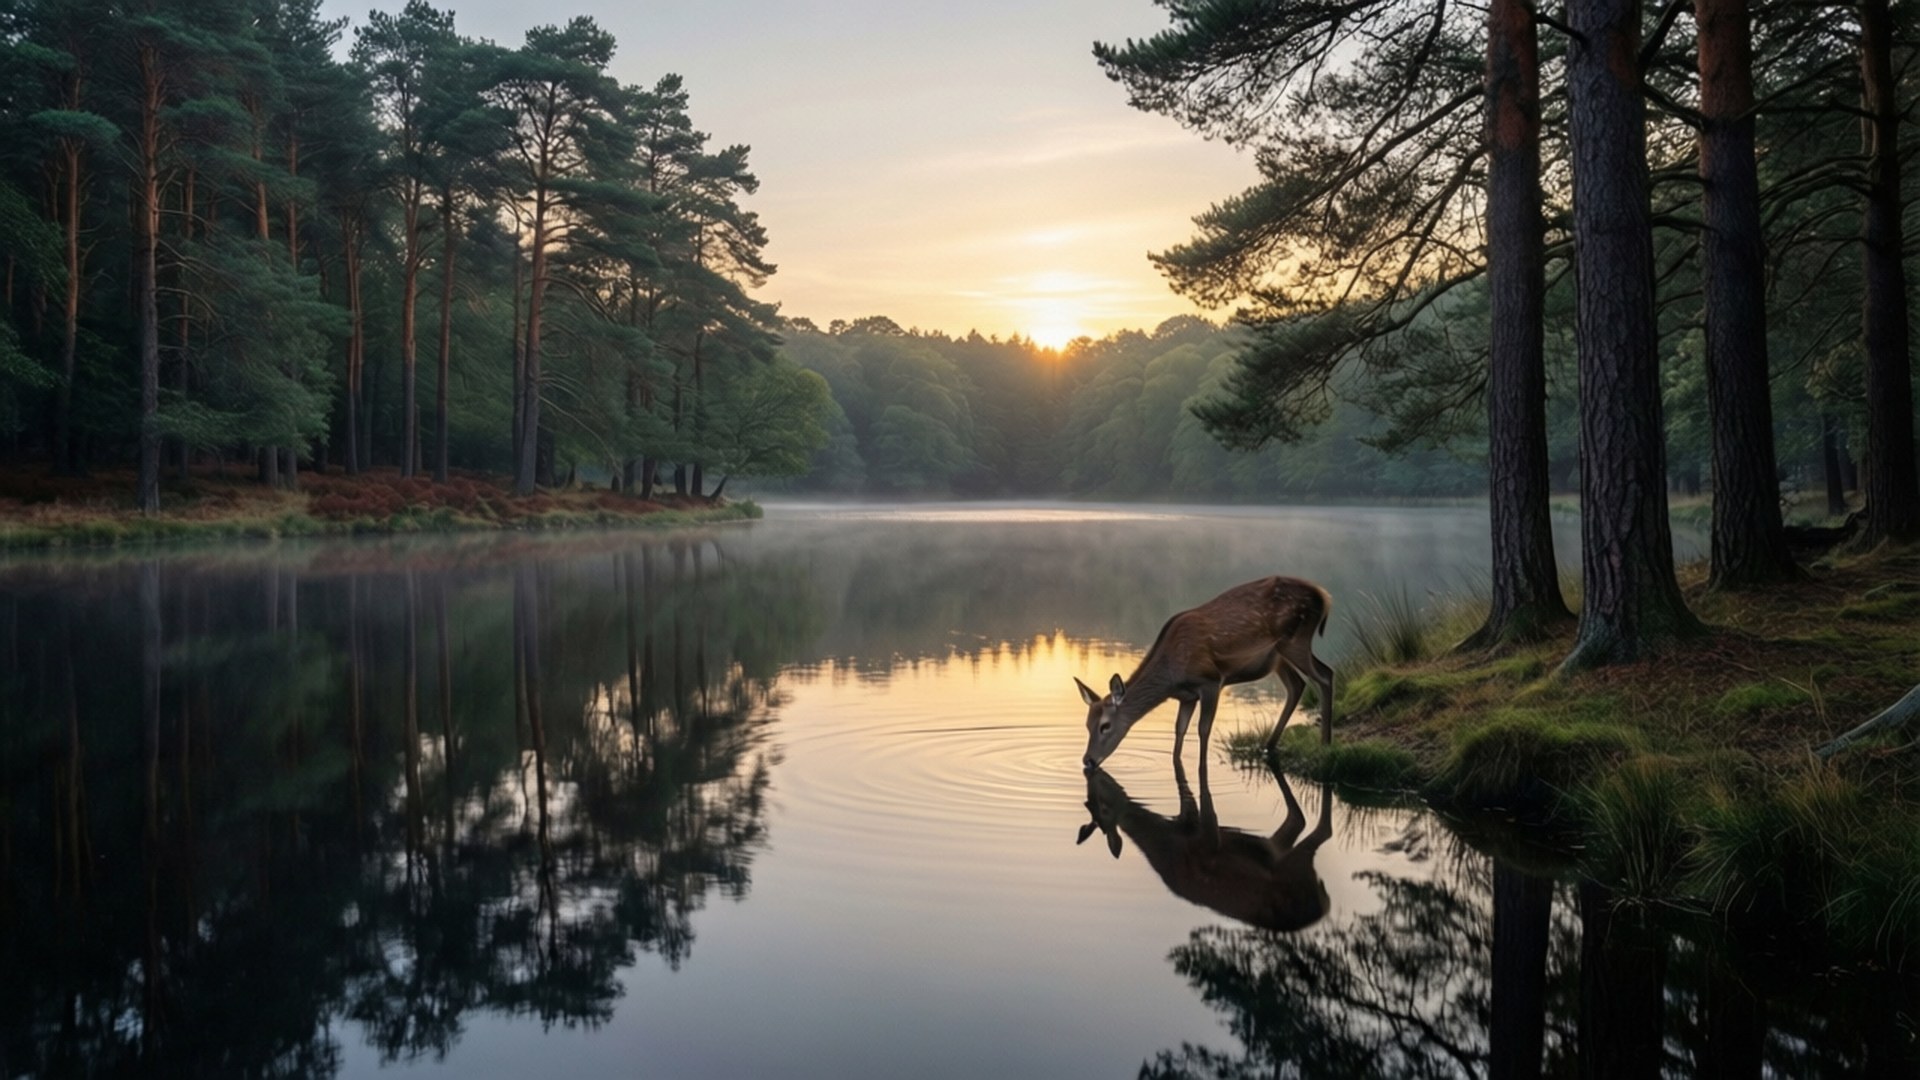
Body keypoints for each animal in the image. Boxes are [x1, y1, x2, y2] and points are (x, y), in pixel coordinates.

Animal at [1074, 575, 1334, 771]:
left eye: (1105, 726)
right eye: (1086, 724)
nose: (1088, 760)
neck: (1171, 676)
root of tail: (1324, 596)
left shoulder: (1210, 681)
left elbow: (1203, 729)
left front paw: (1202, 767)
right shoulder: (1186, 697)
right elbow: (1179, 730)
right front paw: (1176, 762)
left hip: (1295, 641)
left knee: (1326, 674)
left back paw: (1325, 743)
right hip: (1278, 657)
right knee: (1297, 685)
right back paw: (1268, 746)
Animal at [1077, 755, 1334, 933]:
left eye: (1104, 809)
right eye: (1088, 805)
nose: (1089, 765)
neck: (1164, 843)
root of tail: (1323, 906)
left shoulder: (1203, 838)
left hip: (1296, 868)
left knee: (1319, 831)